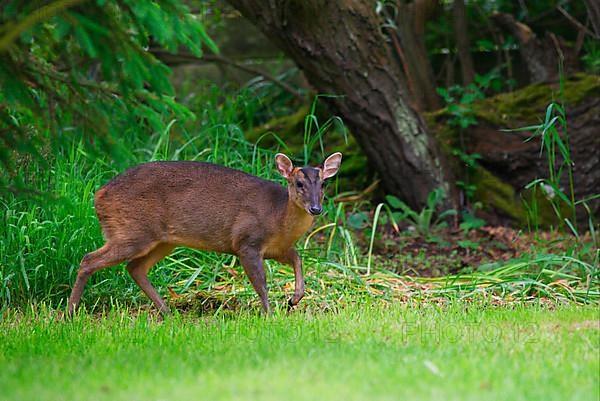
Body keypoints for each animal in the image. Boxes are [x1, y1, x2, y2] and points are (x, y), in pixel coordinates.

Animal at [68, 152, 342, 314]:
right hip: (131, 231)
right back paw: (70, 313)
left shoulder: (277, 248)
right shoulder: (246, 241)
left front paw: (294, 299)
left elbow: (297, 258)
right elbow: (261, 282)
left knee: (135, 268)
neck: (278, 218)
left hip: (162, 240)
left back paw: (168, 312)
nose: (316, 208)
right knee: (89, 259)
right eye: (299, 183)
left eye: (323, 183)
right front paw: (270, 314)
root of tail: (99, 196)